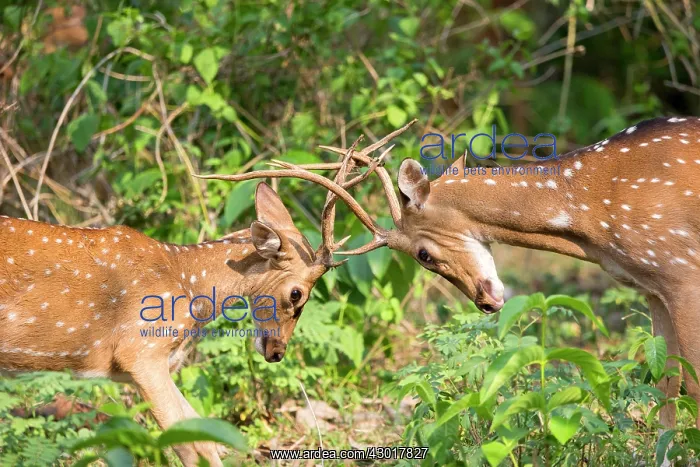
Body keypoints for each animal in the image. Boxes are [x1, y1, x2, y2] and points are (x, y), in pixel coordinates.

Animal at [0, 174, 369, 466]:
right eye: (297, 294)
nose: (277, 352)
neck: (189, 284)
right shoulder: (141, 352)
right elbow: (189, 447)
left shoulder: (155, 364)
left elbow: (205, 438)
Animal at [202, 116, 700, 435]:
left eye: (422, 253)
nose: (486, 301)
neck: (594, 210)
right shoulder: (652, 285)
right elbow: (665, 384)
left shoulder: (680, 268)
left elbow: (691, 382)